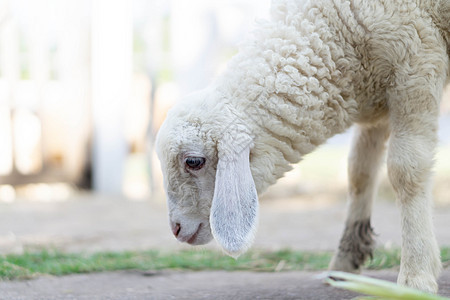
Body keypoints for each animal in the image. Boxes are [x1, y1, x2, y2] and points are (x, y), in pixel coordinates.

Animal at [156, 0, 450, 292]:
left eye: (193, 161)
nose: (176, 229)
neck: (335, 27)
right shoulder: (377, 98)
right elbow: (359, 173)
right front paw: (344, 263)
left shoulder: (417, 65)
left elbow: (405, 172)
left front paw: (416, 276)